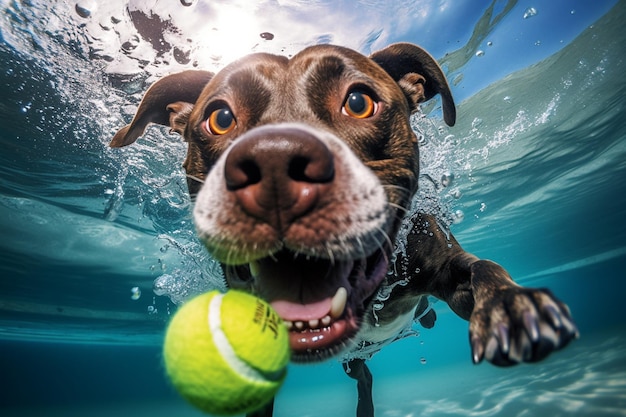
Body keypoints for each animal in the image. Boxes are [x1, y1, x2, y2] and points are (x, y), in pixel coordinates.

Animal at [111, 43, 576, 416]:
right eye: (221, 118)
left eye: (358, 102)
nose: (276, 163)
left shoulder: (443, 262)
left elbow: (482, 269)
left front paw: (510, 306)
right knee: (362, 374)